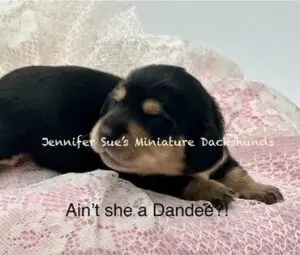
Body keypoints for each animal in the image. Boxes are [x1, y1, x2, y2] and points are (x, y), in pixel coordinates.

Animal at [0, 64, 284, 205]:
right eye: (116, 102)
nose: (104, 132)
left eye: (154, 118)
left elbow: (236, 171)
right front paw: (213, 189)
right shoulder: (143, 175)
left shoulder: (219, 155)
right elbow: (183, 181)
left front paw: (261, 189)